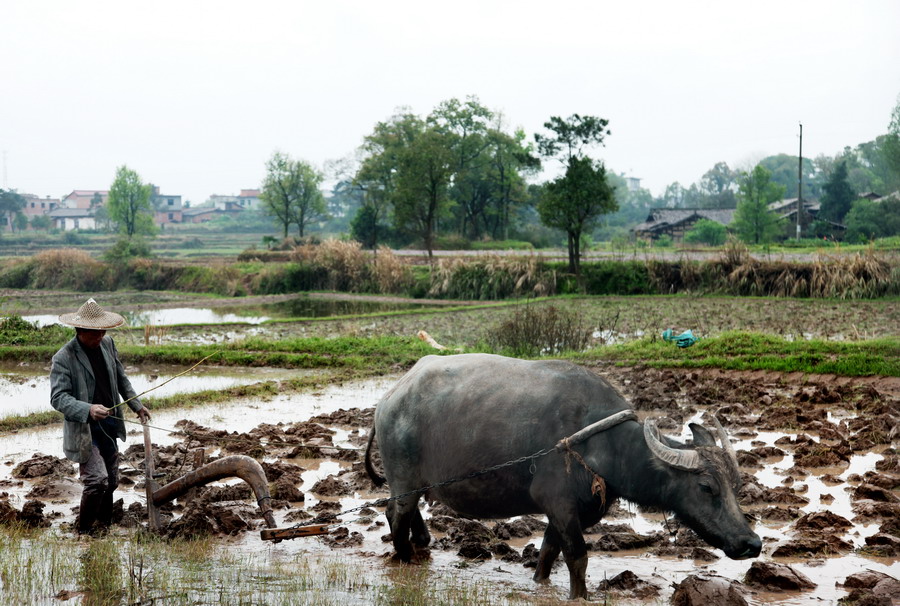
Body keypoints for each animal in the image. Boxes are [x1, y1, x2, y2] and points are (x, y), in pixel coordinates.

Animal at [364, 354, 760, 600]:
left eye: (736, 487)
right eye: (706, 487)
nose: (751, 543)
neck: (601, 443)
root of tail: (391, 397)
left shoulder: (564, 511)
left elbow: (548, 551)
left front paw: (540, 582)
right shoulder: (560, 504)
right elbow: (577, 556)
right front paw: (580, 595)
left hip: (416, 483)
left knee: (409, 514)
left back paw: (421, 545)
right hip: (403, 479)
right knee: (396, 514)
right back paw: (405, 558)